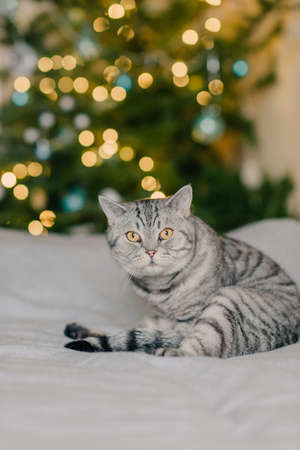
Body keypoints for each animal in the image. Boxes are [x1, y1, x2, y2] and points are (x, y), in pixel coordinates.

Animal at [63, 185, 300, 356]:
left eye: (166, 233)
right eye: (132, 236)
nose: (151, 251)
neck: (159, 288)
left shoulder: (189, 321)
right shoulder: (160, 318)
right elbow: (134, 331)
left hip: (227, 301)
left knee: (201, 350)